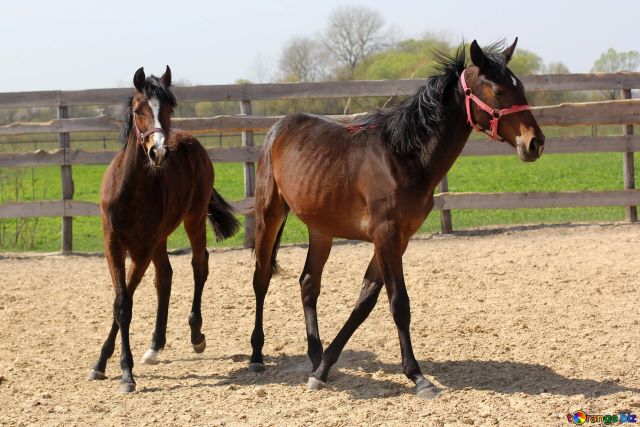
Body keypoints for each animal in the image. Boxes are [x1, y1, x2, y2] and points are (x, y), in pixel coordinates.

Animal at [87, 66, 239, 393]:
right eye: (138, 110)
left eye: (169, 108)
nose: (158, 152)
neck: (131, 189)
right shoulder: (113, 244)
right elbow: (121, 301)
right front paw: (101, 363)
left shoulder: (142, 248)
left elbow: (126, 302)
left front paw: (126, 373)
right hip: (160, 238)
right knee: (165, 278)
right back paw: (155, 346)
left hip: (193, 219)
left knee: (199, 265)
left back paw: (196, 335)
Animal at [249, 39, 545, 399]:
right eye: (499, 90)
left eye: (521, 88)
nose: (535, 142)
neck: (403, 156)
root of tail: (278, 127)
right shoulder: (386, 235)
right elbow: (399, 304)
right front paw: (418, 376)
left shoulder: (399, 238)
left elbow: (365, 301)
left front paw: (323, 369)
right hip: (270, 215)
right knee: (261, 279)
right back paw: (256, 355)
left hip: (321, 228)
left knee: (308, 284)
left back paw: (315, 355)